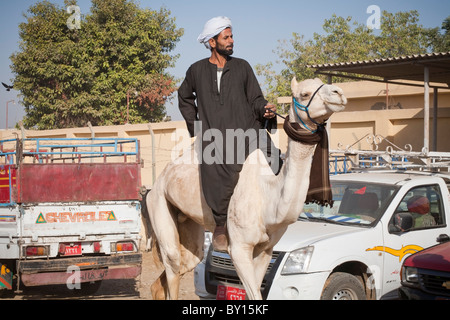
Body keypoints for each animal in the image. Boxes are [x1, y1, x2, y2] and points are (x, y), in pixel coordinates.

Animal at [146, 77, 346, 300]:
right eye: (304, 94)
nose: (339, 93)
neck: (269, 196)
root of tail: (159, 181)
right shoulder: (239, 248)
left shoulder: (266, 248)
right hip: (158, 203)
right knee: (172, 264)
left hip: (188, 224)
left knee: (179, 267)